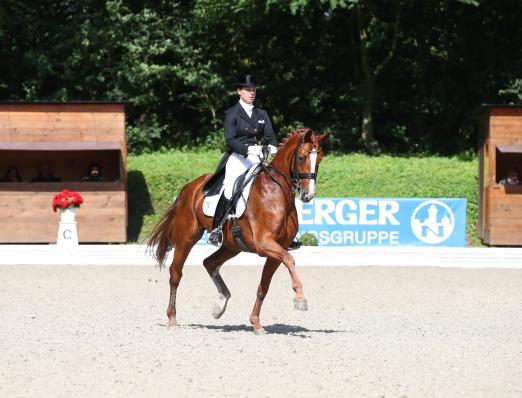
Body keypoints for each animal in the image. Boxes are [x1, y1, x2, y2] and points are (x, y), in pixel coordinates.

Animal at [147, 129, 324, 334]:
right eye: (302, 157)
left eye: (319, 158)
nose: (308, 195)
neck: (276, 192)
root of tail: (188, 188)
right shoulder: (264, 244)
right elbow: (290, 260)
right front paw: (300, 298)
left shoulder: (276, 250)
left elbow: (264, 286)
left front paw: (256, 323)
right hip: (187, 238)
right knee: (176, 273)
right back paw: (172, 318)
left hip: (232, 246)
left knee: (209, 263)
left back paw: (220, 305)